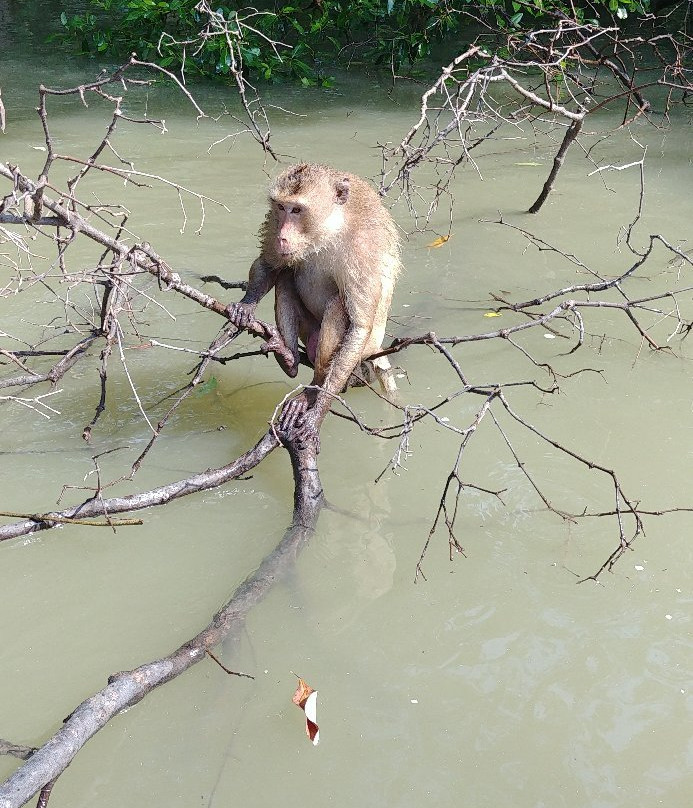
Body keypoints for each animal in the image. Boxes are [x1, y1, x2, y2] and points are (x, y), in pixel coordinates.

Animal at [227, 161, 400, 446]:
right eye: (281, 208)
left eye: (297, 210)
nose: (282, 236)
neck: (329, 230)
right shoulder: (274, 224)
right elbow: (269, 264)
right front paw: (247, 304)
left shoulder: (362, 248)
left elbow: (359, 326)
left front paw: (318, 411)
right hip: (308, 331)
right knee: (286, 275)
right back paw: (288, 359)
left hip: (363, 351)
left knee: (339, 306)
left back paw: (313, 389)